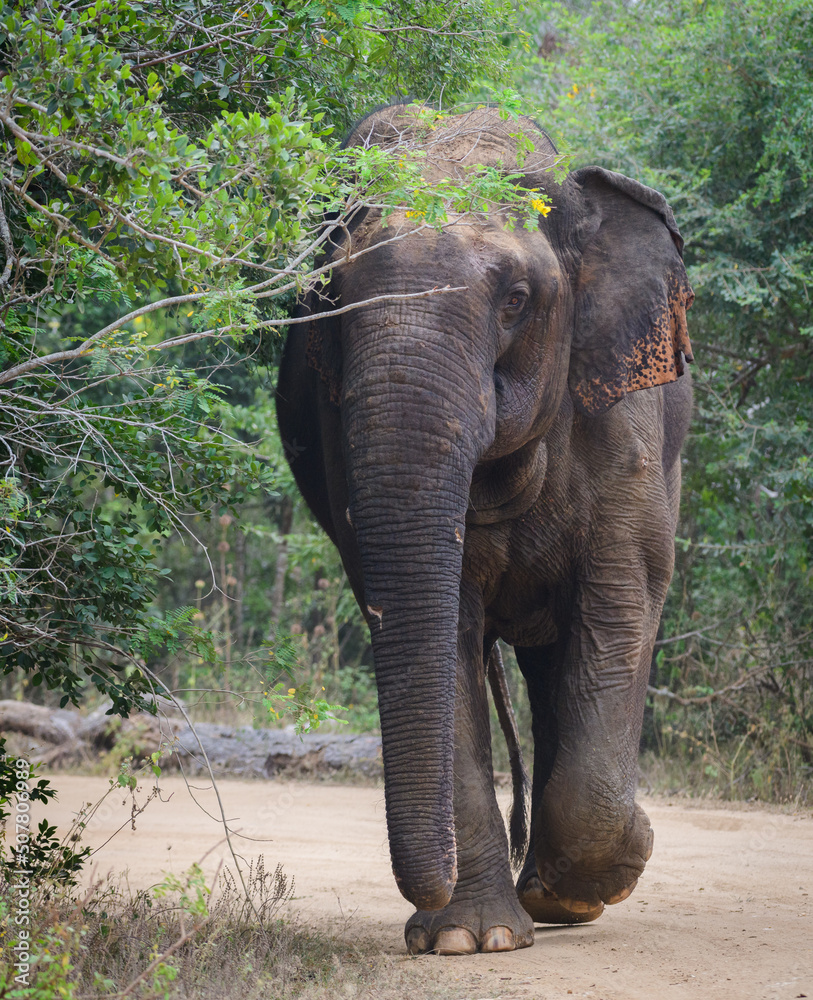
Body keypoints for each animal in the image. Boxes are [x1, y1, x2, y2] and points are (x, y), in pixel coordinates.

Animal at [276, 105, 694, 955]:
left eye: (516, 300)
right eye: (328, 303)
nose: (425, 894)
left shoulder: (624, 430)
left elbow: (621, 601)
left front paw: (613, 863)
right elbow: (445, 632)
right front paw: (468, 940)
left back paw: (560, 894)